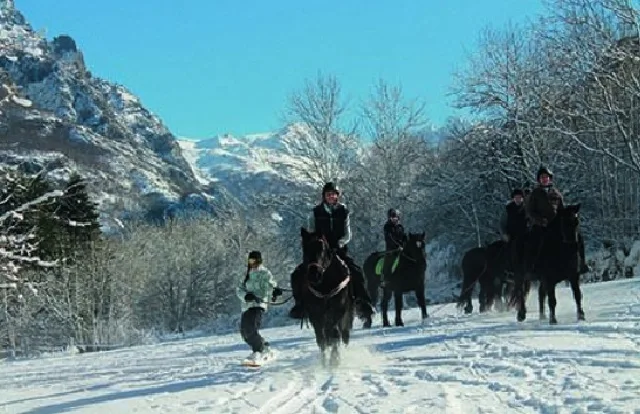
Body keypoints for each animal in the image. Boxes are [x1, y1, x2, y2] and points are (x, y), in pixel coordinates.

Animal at [298, 226, 352, 366]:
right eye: (305, 248)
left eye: (322, 248)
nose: (314, 274)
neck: (325, 286)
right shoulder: (315, 314)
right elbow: (321, 339)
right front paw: (325, 363)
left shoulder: (338, 310)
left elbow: (335, 333)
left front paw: (335, 360)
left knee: (343, 334)